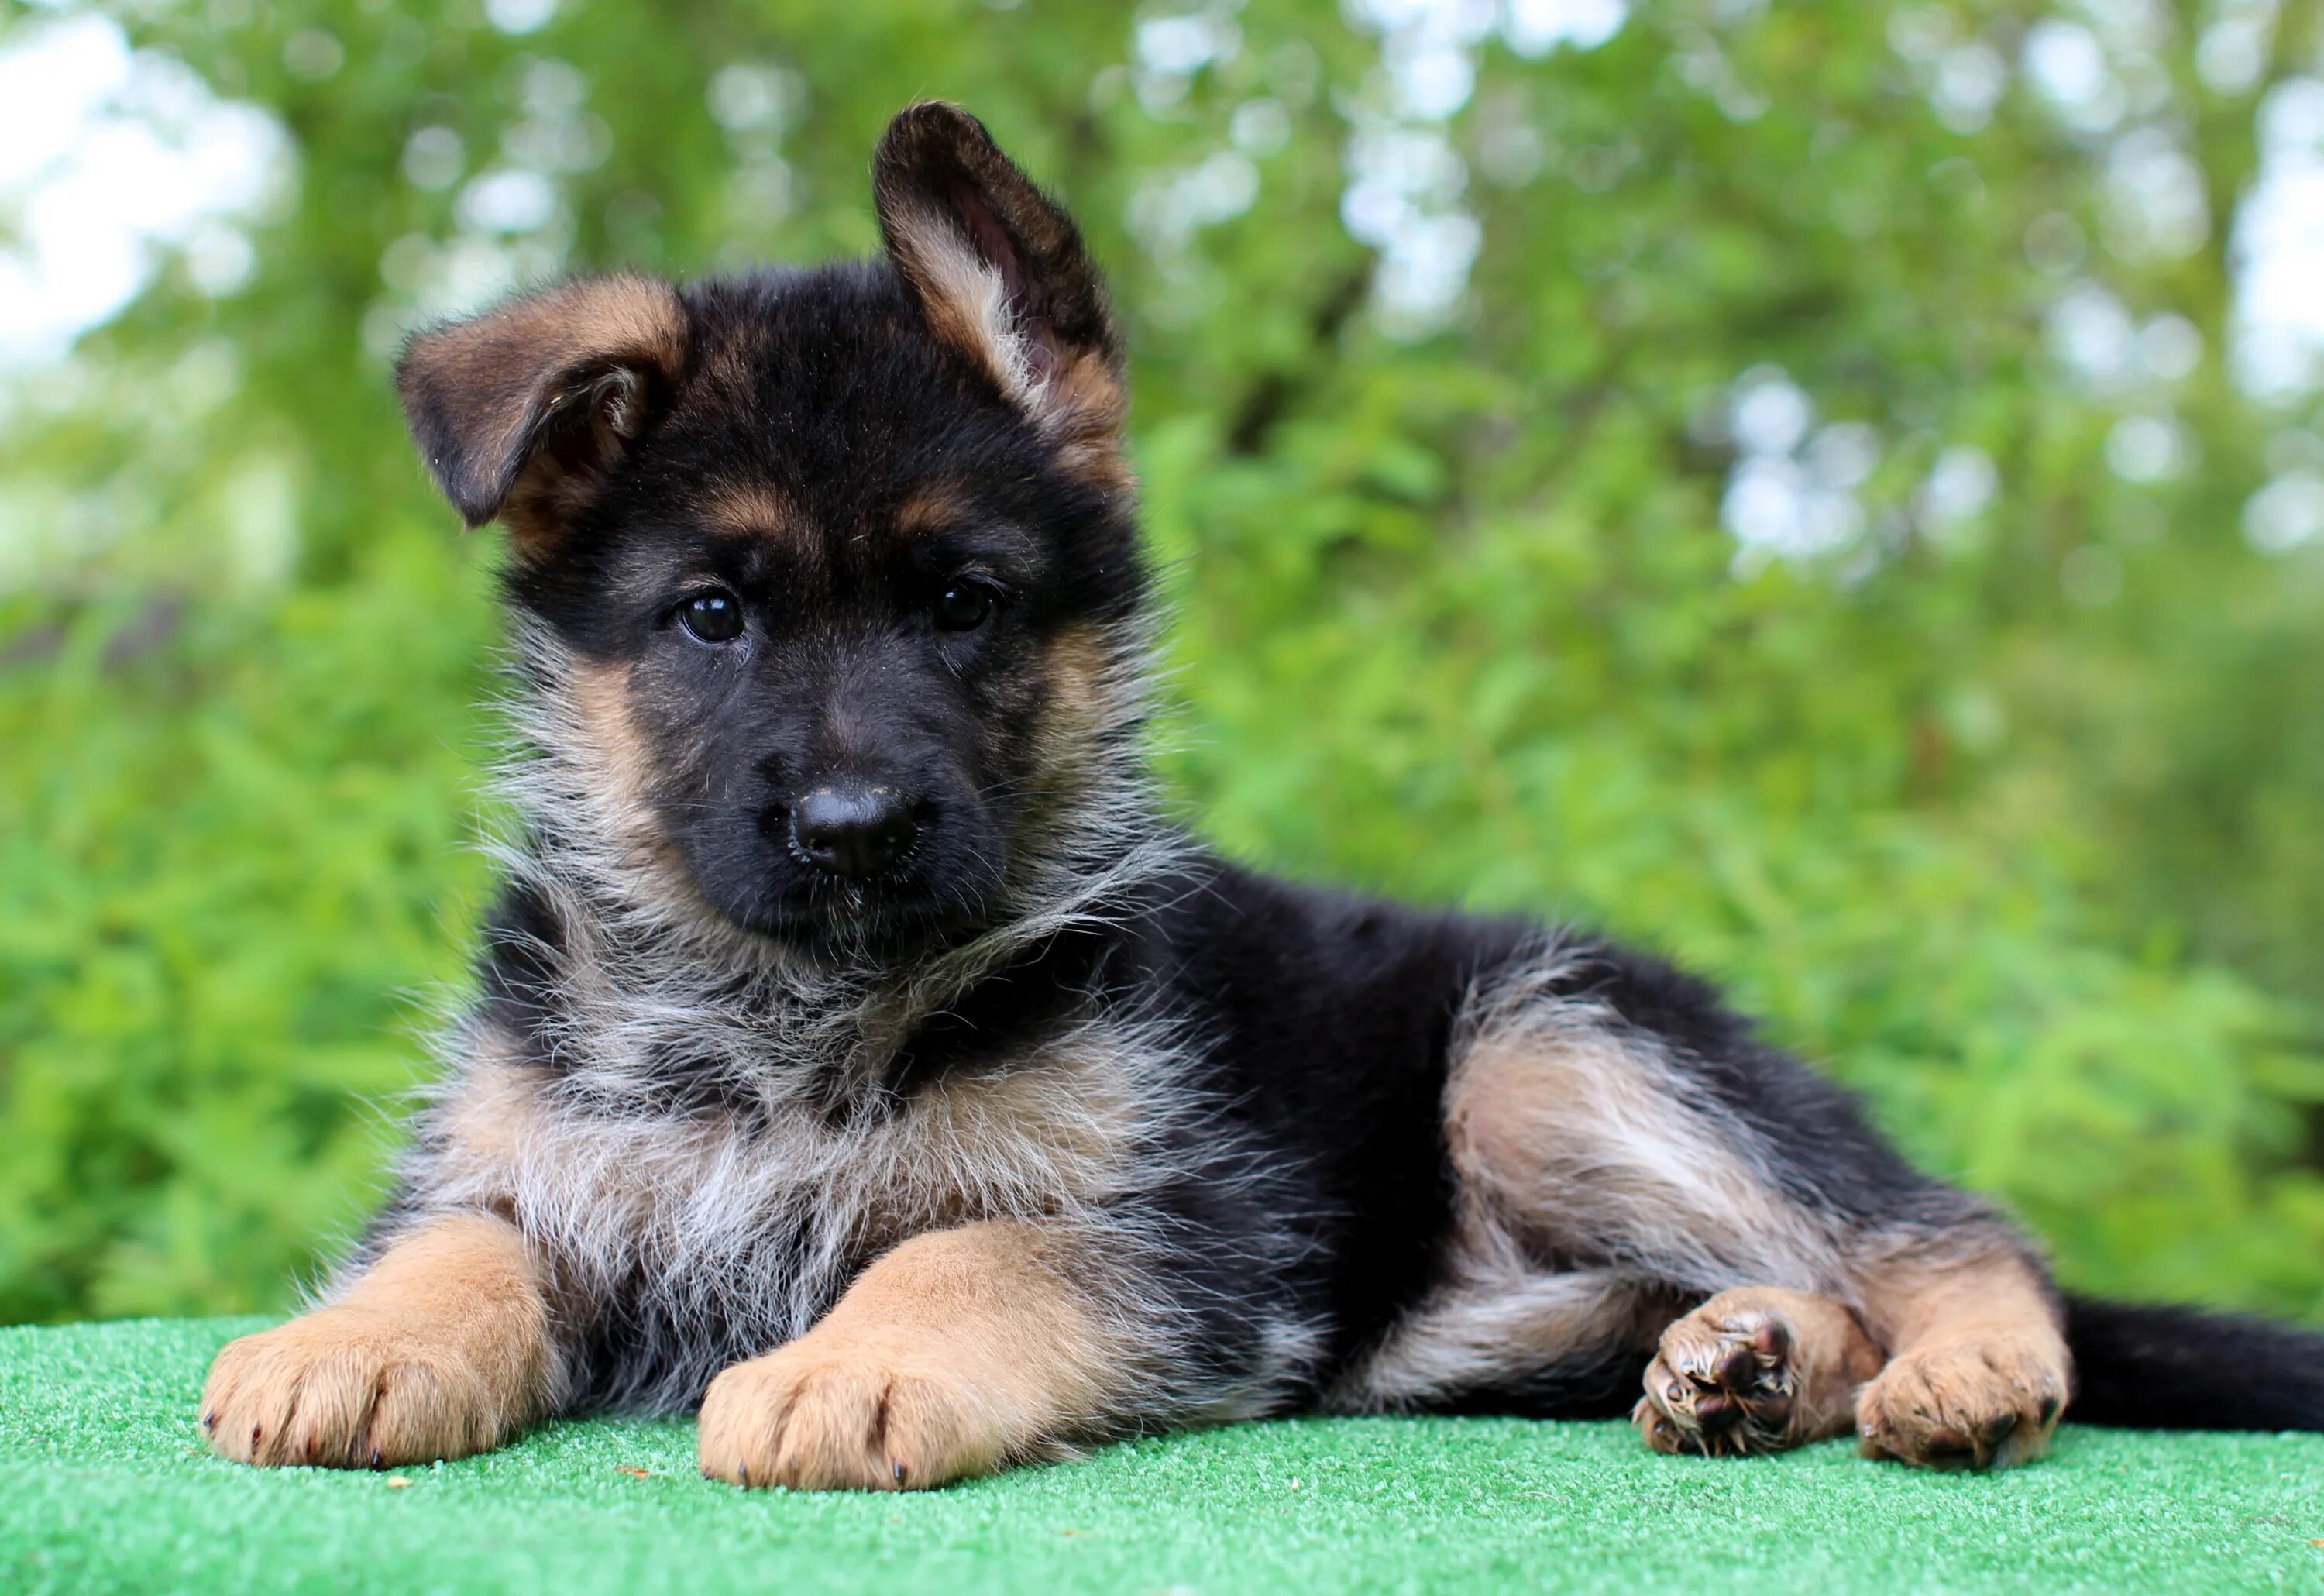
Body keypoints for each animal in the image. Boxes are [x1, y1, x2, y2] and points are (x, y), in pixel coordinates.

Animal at [200, 106, 2324, 1496]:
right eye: (710, 615)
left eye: (962, 604)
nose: (857, 826)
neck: (785, 1019)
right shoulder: (529, 1160)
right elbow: (465, 1240)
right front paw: (350, 1342)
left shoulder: (1186, 1231)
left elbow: (956, 1247)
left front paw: (845, 1370)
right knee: (1791, 1282)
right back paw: (1745, 1358)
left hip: (1551, 1045)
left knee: (1951, 1236)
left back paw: (1953, 1370)